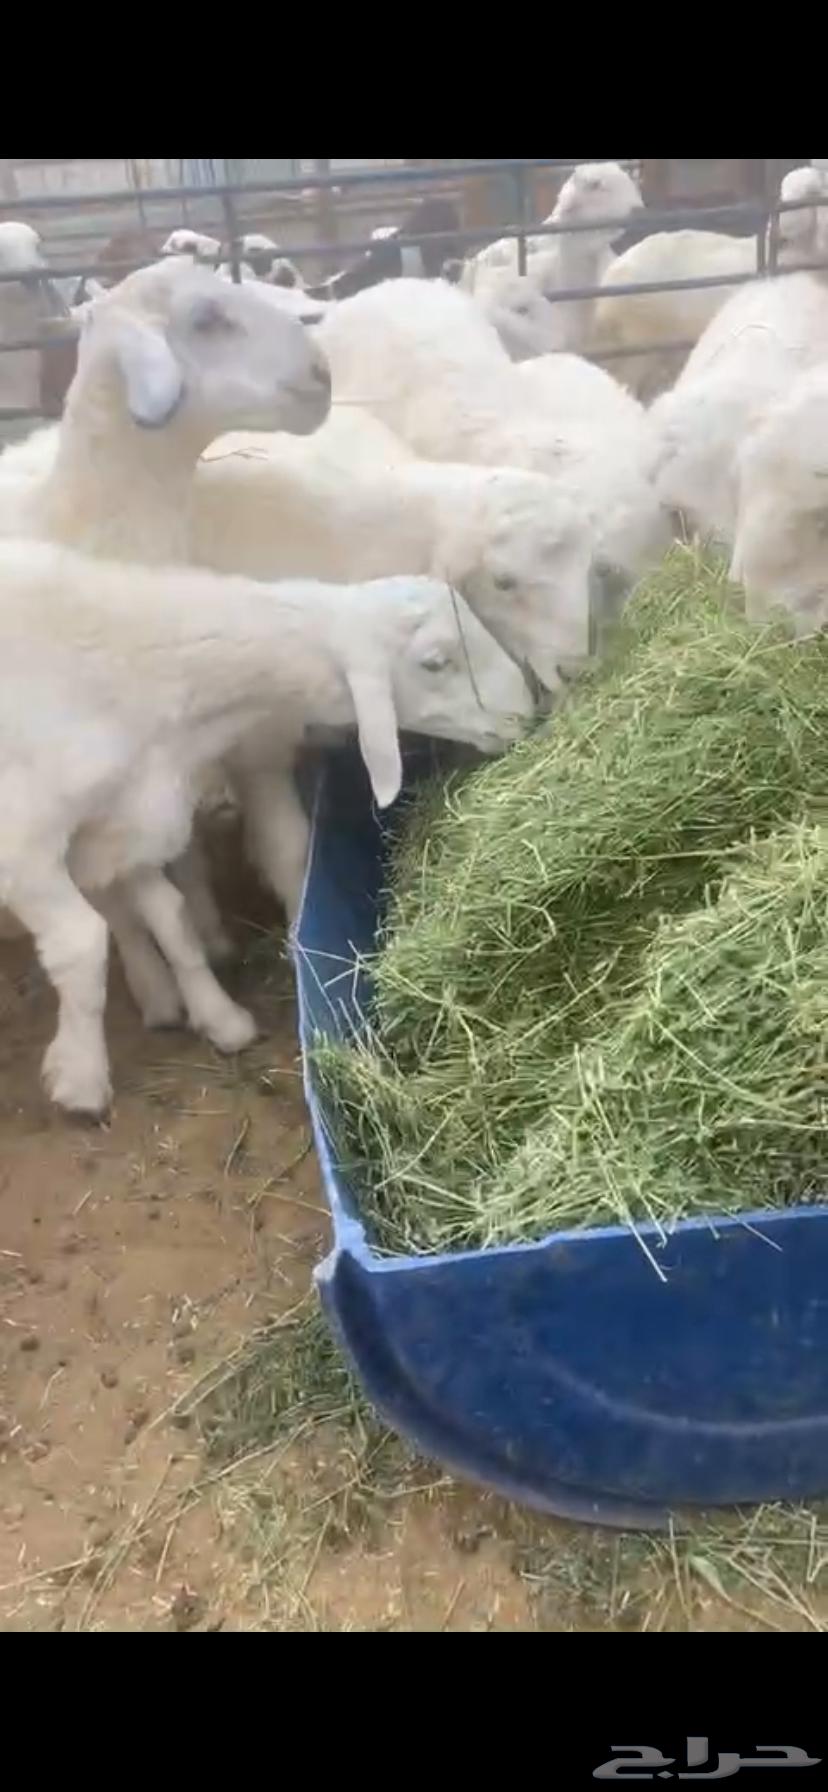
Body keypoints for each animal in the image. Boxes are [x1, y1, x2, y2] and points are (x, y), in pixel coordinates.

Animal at [0, 543, 532, 1116]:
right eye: (436, 662)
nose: (525, 712)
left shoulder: (124, 822)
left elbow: (171, 917)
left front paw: (219, 1018)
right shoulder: (23, 847)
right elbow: (81, 944)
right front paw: (80, 1078)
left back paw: (157, 994)